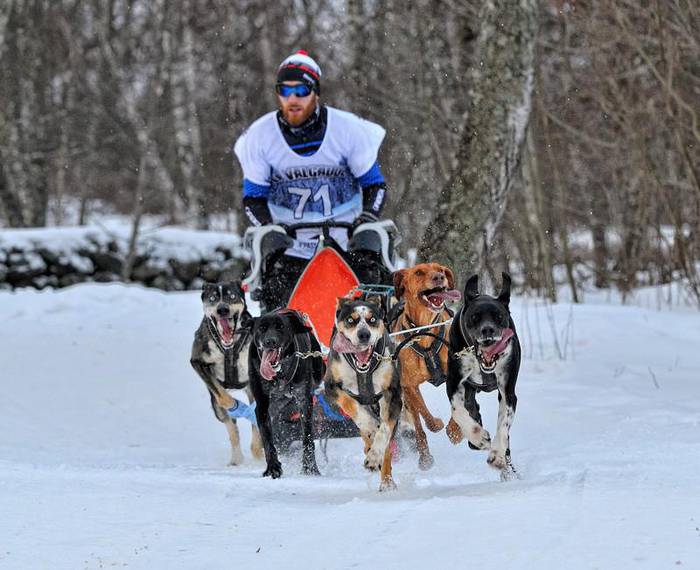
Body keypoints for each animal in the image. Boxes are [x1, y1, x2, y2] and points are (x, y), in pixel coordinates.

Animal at [190, 280, 264, 462]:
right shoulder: (198, 363)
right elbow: (225, 399)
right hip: (216, 407)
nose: (222, 309)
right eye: (212, 298)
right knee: (232, 427)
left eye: (231, 296)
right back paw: (237, 459)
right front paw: (237, 407)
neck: (229, 348)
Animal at [247, 308, 324, 478]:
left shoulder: (304, 401)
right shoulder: (262, 406)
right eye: (261, 328)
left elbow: (307, 438)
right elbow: (268, 439)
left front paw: (310, 468)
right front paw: (273, 467)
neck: (279, 374)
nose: (270, 341)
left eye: (280, 327)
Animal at [322, 298, 400, 488]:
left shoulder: (393, 395)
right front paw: (370, 425)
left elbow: (385, 430)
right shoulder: (331, 387)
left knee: (387, 444)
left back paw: (386, 480)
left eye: (372, 320)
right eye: (351, 320)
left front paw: (375, 456)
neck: (363, 372)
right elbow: (351, 405)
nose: (364, 334)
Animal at [392, 262, 462, 466]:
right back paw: (424, 456)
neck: (425, 332)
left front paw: (455, 431)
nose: (439, 277)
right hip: (405, 396)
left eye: (440, 269)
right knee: (417, 424)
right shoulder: (409, 385)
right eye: (418, 272)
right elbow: (423, 412)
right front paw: (437, 424)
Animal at [448, 272, 520, 478]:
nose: (488, 330)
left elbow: (503, 427)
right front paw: (479, 437)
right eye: (475, 317)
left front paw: (497, 455)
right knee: (471, 410)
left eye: (498, 316)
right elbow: (458, 412)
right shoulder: (454, 384)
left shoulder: (508, 393)